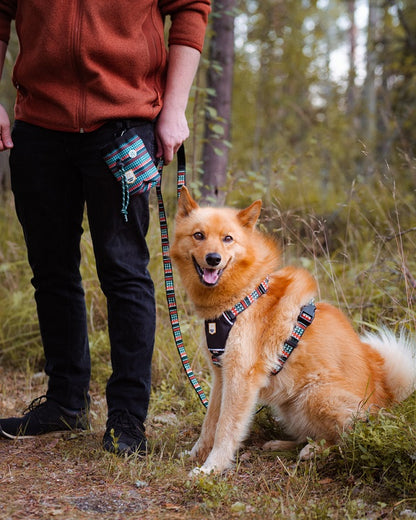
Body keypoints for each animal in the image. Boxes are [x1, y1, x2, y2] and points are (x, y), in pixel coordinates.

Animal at [170, 187, 416, 476]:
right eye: (198, 235)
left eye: (227, 238)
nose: (213, 259)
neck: (241, 297)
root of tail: (387, 395)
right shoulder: (222, 376)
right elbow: (209, 424)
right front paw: (196, 456)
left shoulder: (240, 378)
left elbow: (225, 428)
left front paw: (212, 468)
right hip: (290, 405)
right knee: (309, 433)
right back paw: (282, 444)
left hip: (316, 396)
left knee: (350, 438)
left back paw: (316, 450)